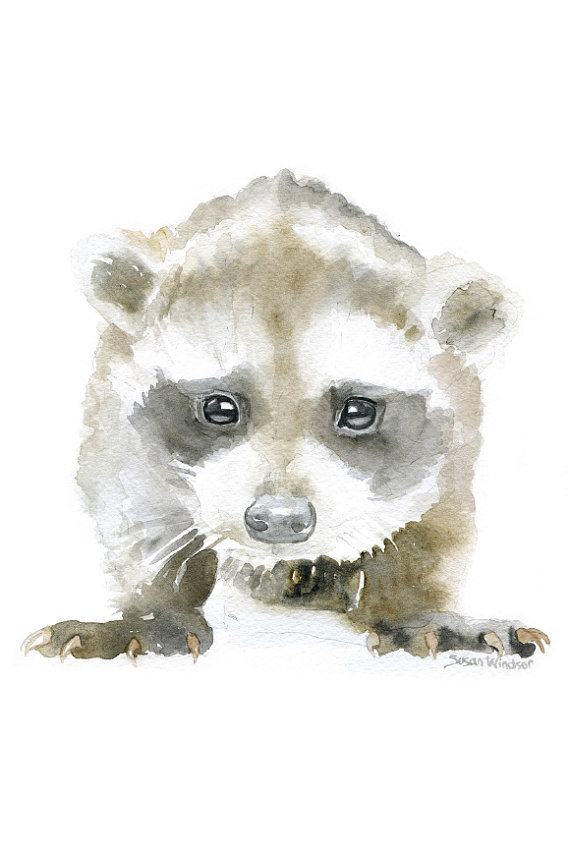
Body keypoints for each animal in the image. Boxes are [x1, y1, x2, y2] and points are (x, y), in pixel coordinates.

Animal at [23, 171, 549, 662]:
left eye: (357, 410)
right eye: (219, 408)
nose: (279, 520)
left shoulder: (456, 428)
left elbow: (436, 524)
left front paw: (417, 611)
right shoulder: (114, 410)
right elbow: (134, 509)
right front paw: (155, 611)